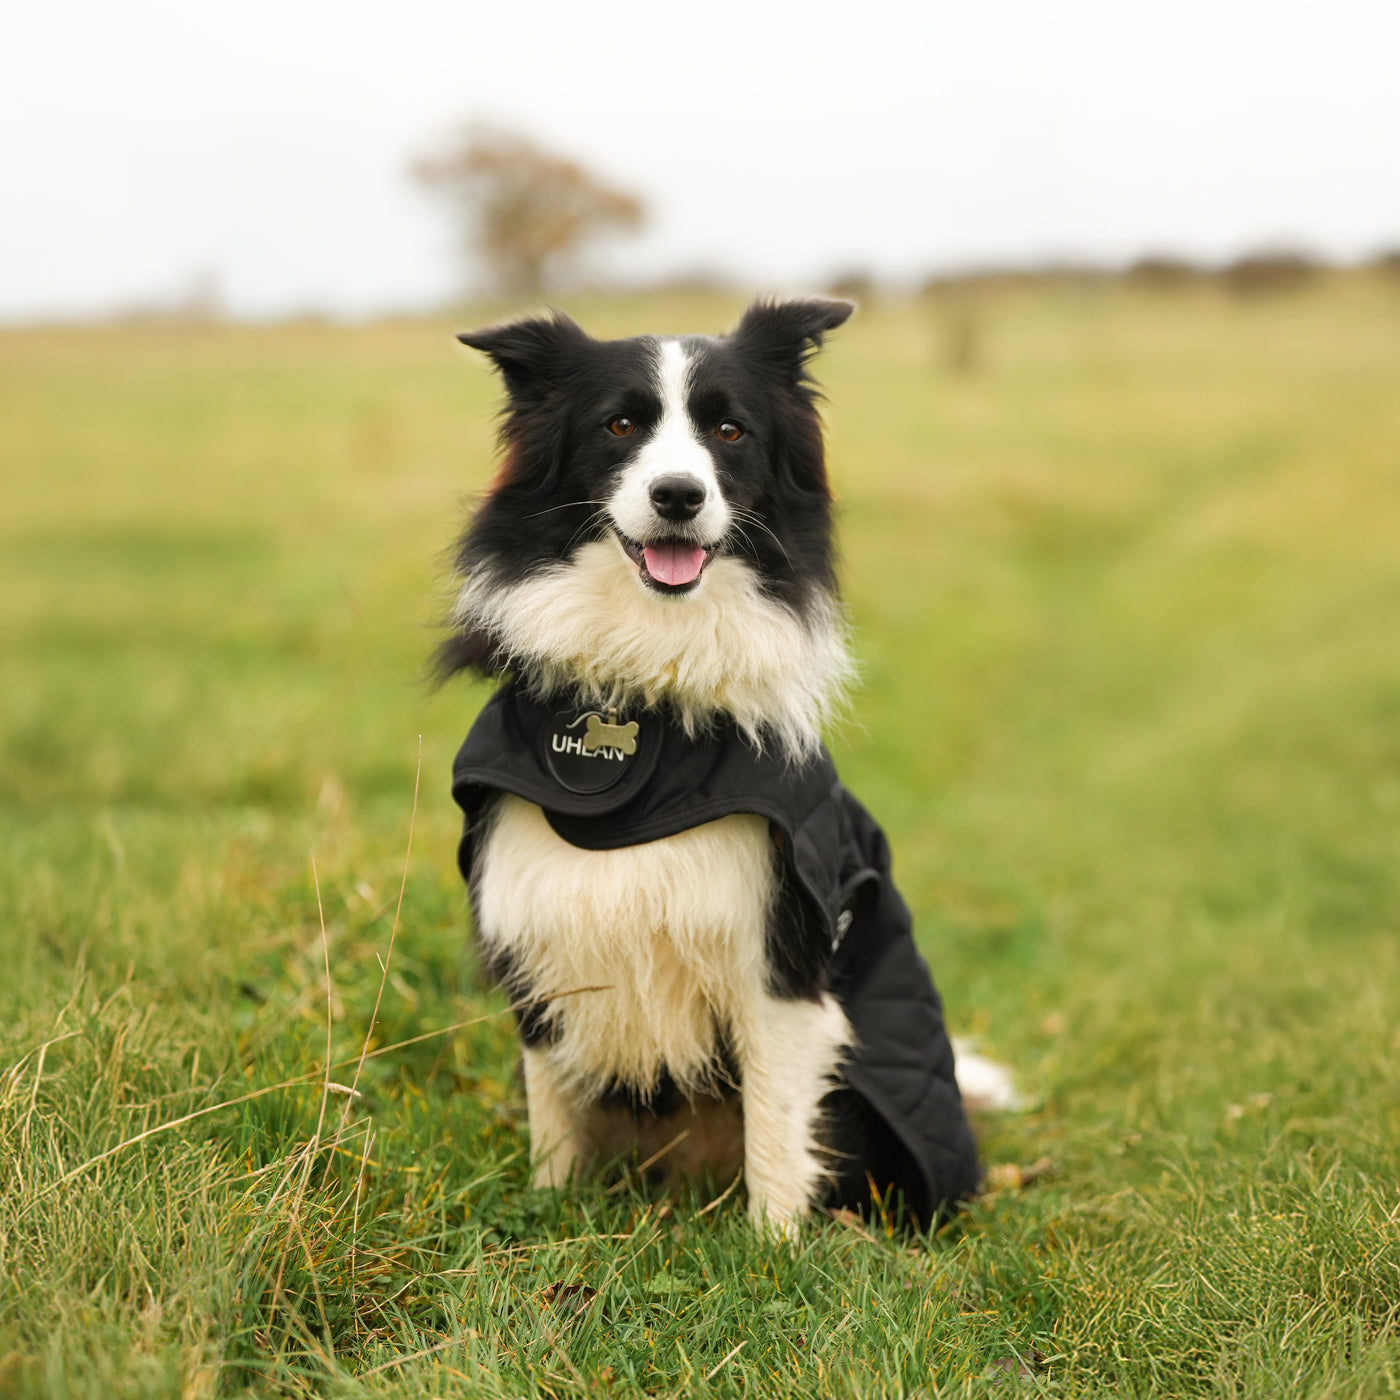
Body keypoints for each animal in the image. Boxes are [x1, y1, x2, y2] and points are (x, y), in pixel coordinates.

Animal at [442, 301, 991, 1232]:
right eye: (620, 425)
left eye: (730, 431)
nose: (679, 495)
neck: (650, 687)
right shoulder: (539, 914)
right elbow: (553, 1105)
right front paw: (550, 1212)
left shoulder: (777, 949)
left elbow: (776, 1121)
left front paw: (774, 1249)